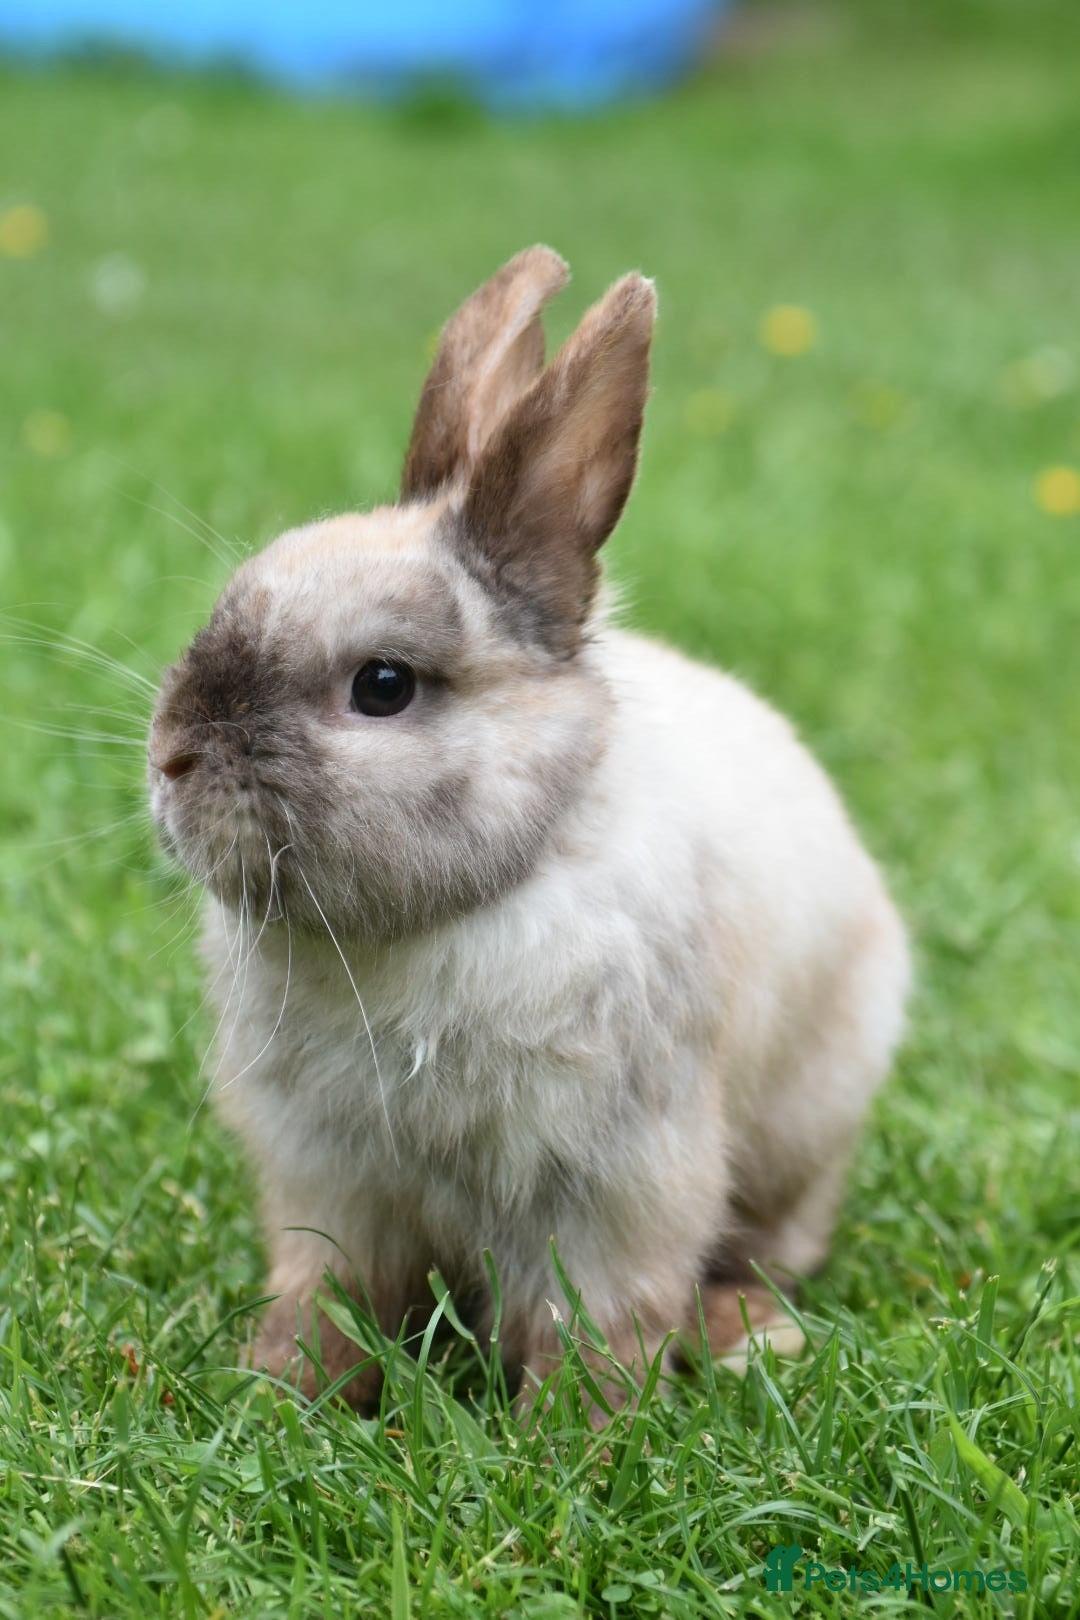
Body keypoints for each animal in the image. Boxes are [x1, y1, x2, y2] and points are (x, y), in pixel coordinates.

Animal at [148, 246, 910, 1409]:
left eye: (382, 686)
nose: (171, 760)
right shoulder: (333, 1181)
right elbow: (325, 1297)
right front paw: (276, 1393)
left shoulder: (616, 1181)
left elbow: (598, 1324)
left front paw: (577, 1435)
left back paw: (747, 1330)